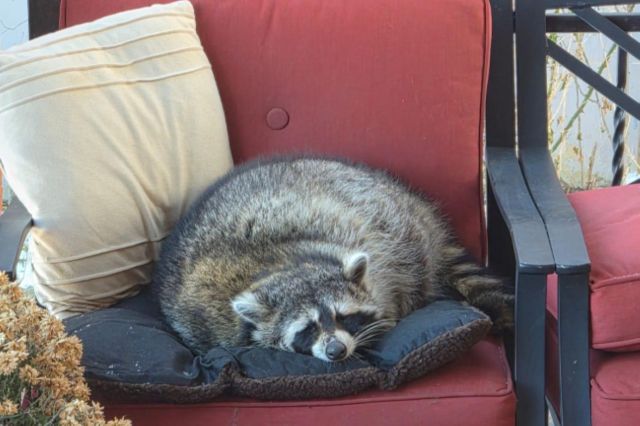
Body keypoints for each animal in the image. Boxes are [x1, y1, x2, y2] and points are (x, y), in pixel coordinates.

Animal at [153, 157, 513, 362]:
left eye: (343, 316)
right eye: (307, 329)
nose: (335, 351)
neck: (284, 266)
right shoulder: (205, 321)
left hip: (399, 227)